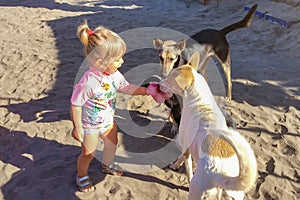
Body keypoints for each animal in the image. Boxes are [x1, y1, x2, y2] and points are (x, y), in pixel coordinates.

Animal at [159, 52, 258, 200]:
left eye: (170, 81)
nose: (159, 84)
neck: (200, 100)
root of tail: (221, 175)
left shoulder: (185, 147)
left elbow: (185, 165)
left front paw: (176, 166)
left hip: (197, 190)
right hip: (235, 195)